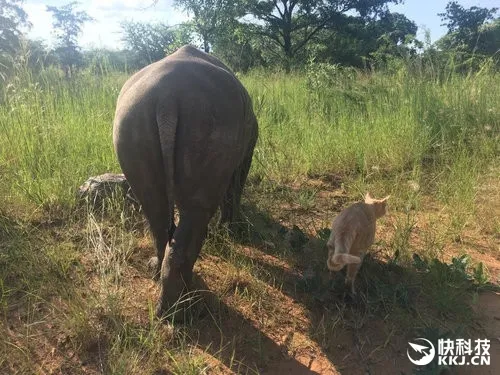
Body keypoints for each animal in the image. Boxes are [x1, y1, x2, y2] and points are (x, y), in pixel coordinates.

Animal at [113, 45, 258, 318]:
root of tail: (167, 98)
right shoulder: (247, 146)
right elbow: (236, 185)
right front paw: (232, 231)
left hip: (132, 119)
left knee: (156, 210)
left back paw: (159, 279)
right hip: (209, 122)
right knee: (198, 210)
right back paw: (183, 309)